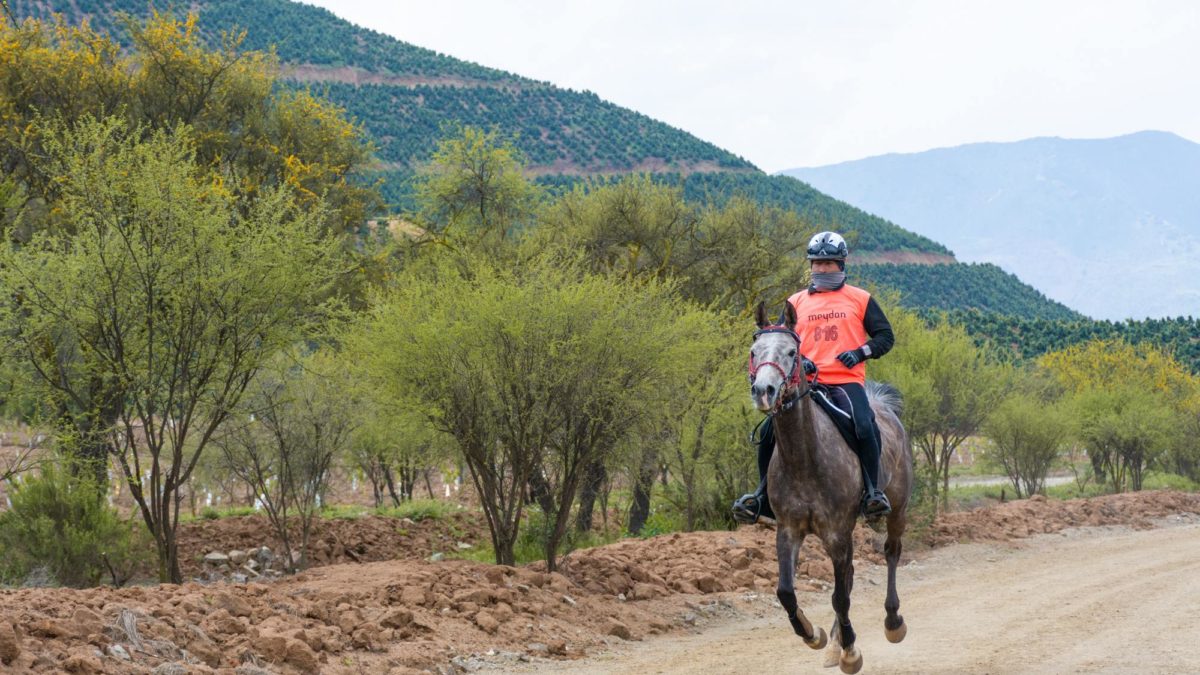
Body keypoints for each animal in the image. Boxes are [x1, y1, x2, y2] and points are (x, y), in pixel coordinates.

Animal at [744, 302, 912, 667]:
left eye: (792, 352)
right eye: (753, 351)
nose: (764, 391)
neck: (804, 456)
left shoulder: (837, 531)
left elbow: (840, 597)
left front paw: (850, 651)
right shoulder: (788, 529)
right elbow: (786, 591)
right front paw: (814, 635)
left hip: (896, 509)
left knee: (891, 553)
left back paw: (892, 622)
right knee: (848, 575)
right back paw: (835, 643)